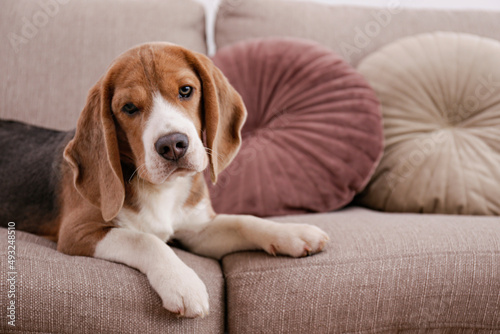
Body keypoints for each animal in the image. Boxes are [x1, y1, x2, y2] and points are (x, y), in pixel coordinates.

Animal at [0, 42, 330, 318]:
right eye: (129, 108)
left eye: (185, 90)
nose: (172, 145)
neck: (161, 188)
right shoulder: (77, 232)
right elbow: (145, 239)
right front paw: (183, 283)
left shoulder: (198, 228)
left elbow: (242, 221)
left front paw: (291, 232)